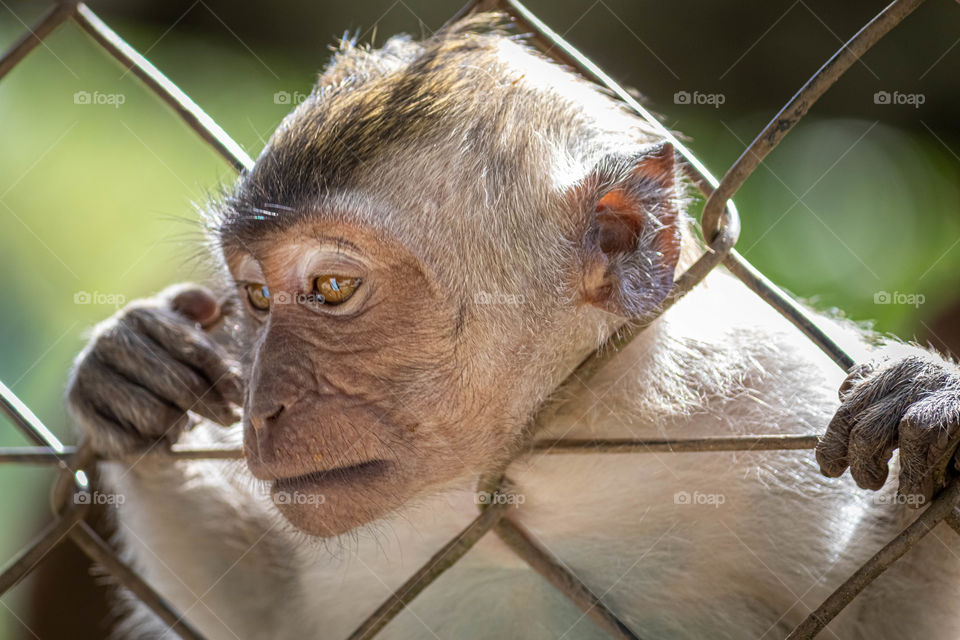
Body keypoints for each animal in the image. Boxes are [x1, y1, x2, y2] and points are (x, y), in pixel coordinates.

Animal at [63, 13, 960, 640]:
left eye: (331, 287)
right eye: (254, 297)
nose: (261, 407)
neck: (551, 453)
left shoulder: (775, 397)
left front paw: (932, 402)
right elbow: (266, 620)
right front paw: (133, 373)